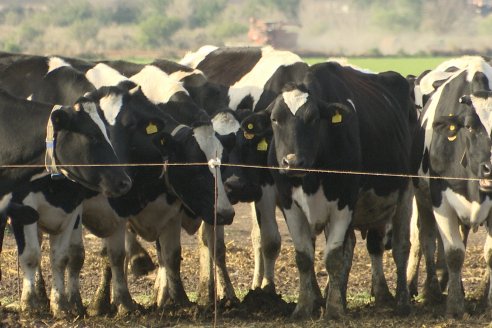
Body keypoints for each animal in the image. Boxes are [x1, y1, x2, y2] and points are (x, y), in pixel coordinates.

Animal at [239, 60, 416, 318]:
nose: (292, 161)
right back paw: (365, 295)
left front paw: (333, 311)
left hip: (406, 192)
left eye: (313, 118)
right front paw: (304, 308)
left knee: (401, 247)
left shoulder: (345, 201)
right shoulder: (290, 204)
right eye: (274, 119)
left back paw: (401, 302)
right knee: (363, 245)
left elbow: (333, 258)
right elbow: (304, 256)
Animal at [410, 56, 492, 318]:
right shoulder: (440, 199)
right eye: (470, 126)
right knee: (425, 239)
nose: (490, 168)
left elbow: (489, 253)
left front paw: (488, 301)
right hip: (422, 200)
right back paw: (430, 292)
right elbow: (453, 253)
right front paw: (455, 305)